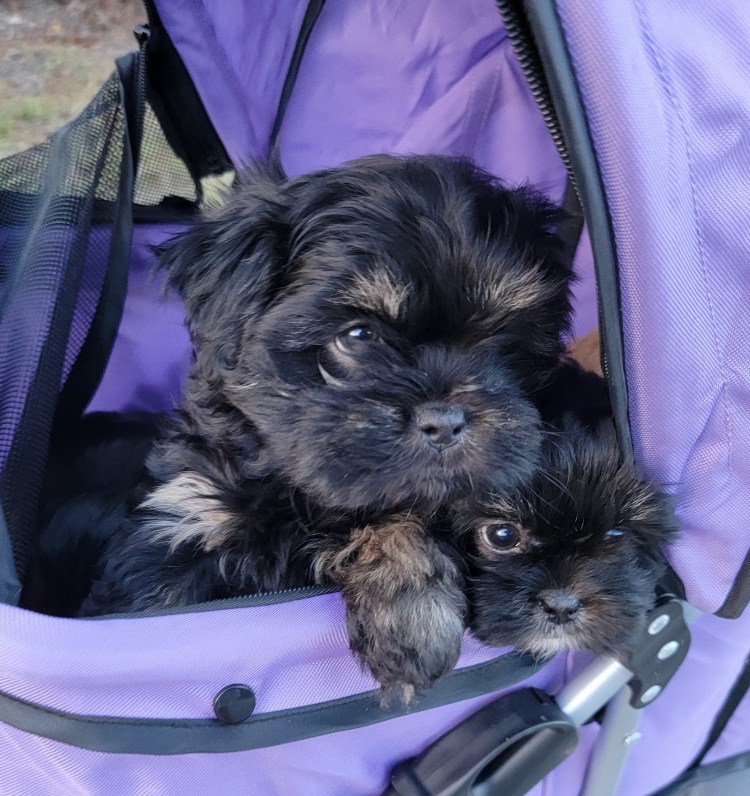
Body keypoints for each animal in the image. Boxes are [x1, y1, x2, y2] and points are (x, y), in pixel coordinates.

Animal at [74, 154, 574, 700]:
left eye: (504, 343)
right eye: (357, 336)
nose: (445, 421)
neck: (299, 494)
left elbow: (410, 509)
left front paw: (412, 616)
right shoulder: (181, 519)